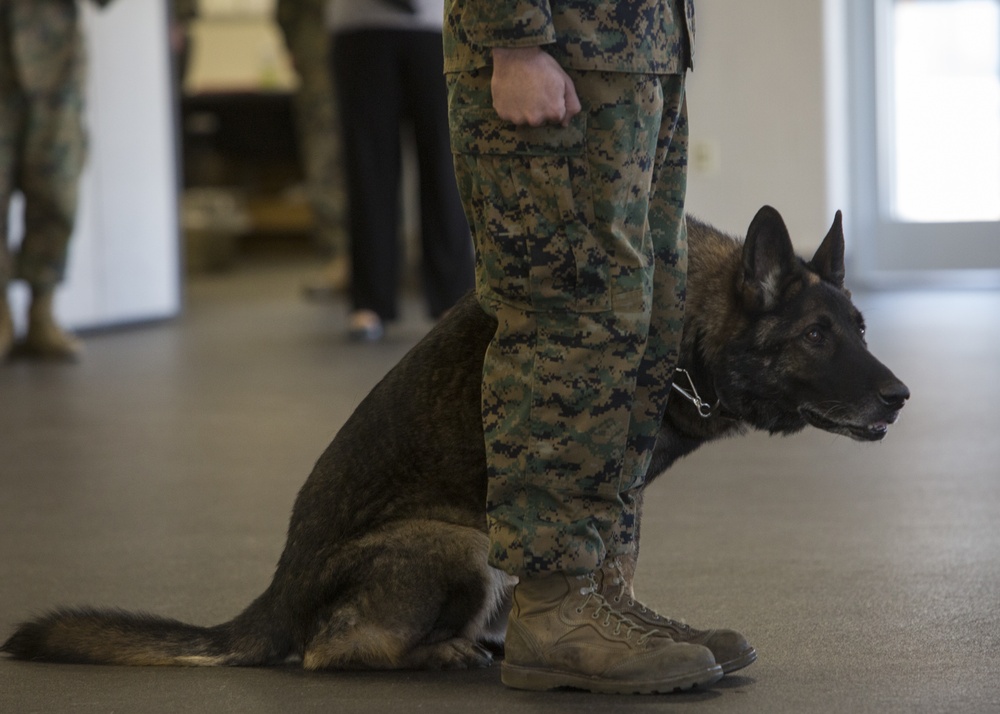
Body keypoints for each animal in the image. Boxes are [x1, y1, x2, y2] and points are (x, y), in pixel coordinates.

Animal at [1, 204, 908, 668]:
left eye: (860, 328)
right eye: (818, 336)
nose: (900, 398)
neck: (687, 325)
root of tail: (274, 600)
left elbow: (617, 563)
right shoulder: (599, 478)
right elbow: (603, 556)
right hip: (460, 542)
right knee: (333, 652)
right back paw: (442, 654)